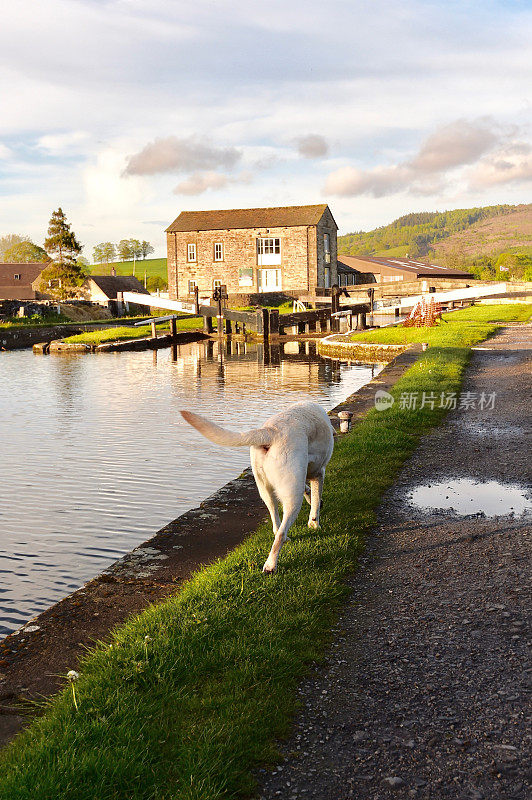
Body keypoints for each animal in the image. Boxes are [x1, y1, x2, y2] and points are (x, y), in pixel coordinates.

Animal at [181, 404, 334, 572]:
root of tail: (271, 430)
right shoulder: (319, 473)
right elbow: (316, 503)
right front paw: (315, 524)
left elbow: (310, 493)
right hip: (292, 494)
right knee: (280, 533)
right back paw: (270, 566)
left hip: (266, 489)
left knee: (276, 525)